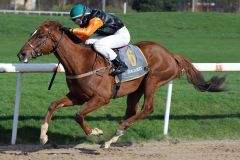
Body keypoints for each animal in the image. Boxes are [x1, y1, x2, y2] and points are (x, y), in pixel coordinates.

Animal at [17, 20, 226, 148]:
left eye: (40, 35)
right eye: (32, 33)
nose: (21, 54)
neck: (82, 61)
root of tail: (171, 54)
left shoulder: (101, 98)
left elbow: (78, 115)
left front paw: (95, 132)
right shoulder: (77, 96)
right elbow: (53, 105)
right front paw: (43, 135)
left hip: (153, 80)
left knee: (147, 108)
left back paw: (115, 132)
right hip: (136, 89)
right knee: (132, 111)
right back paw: (111, 140)